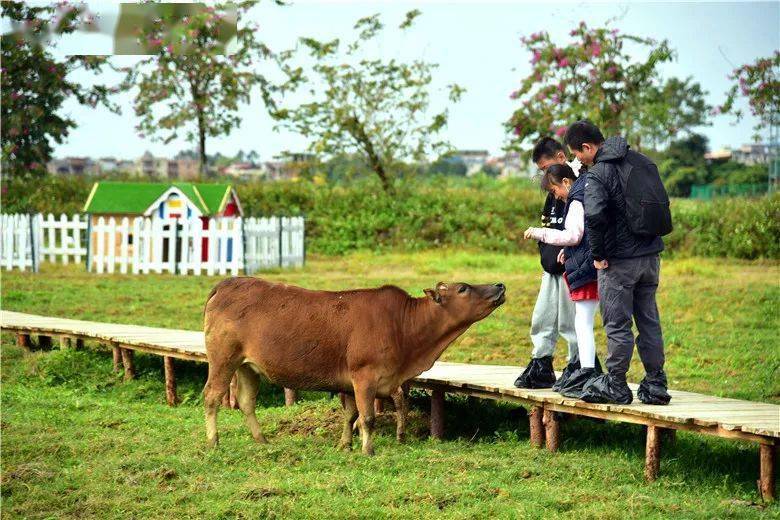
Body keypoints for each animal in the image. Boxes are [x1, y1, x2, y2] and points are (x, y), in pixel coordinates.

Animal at [203, 278, 506, 452]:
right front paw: (367, 450)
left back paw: (261, 439)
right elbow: (367, 417)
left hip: (247, 365)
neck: (403, 326)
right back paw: (213, 441)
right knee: (212, 397)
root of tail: (227, 283)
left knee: (246, 401)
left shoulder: (350, 382)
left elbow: (350, 415)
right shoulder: (364, 376)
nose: (500, 286)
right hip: (223, 358)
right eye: (463, 288)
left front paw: (345, 444)